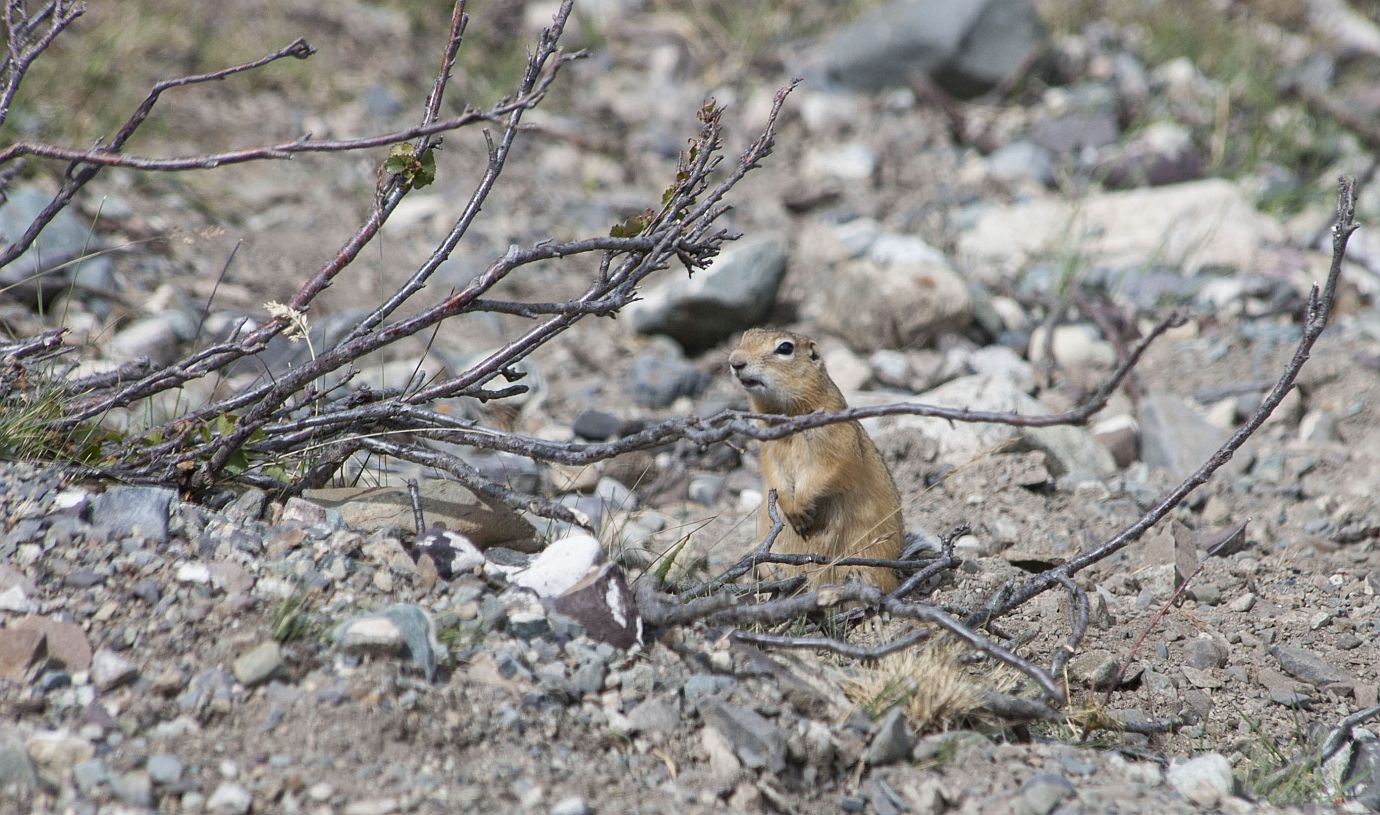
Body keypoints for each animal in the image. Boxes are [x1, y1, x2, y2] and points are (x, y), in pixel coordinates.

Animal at [723, 328, 905, 590]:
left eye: (785, 348)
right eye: (744, 337)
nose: (735, 361)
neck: (787, 415)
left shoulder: (835, 441)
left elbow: (830, 471)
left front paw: (800, 506)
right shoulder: (767, 449)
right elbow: (774, 476)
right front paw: (792, 509)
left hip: (865, 568)